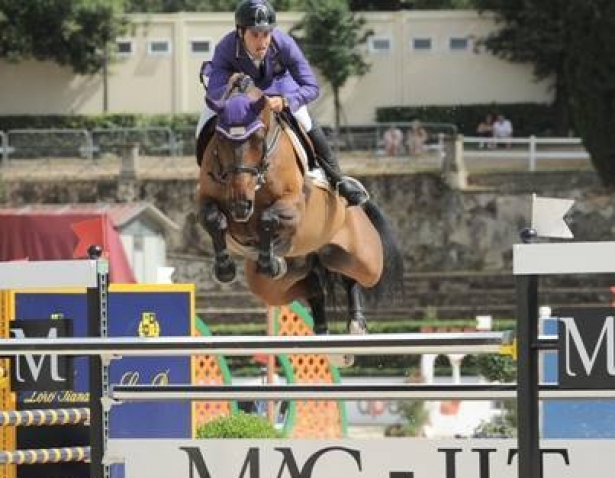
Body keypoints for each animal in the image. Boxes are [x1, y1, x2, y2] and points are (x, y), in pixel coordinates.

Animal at [195, 73, 402, 360]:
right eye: (220, 139)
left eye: (259, 137)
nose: (240, 204)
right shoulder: (208, 200)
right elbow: (215, 220)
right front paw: (226, 268)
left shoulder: (293, 206)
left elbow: (268, 219)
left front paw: (269, 259)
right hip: (276, 285)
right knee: (313, 286)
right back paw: (323, 332)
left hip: (365, 260)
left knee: (352, 279)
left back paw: (356, 327)